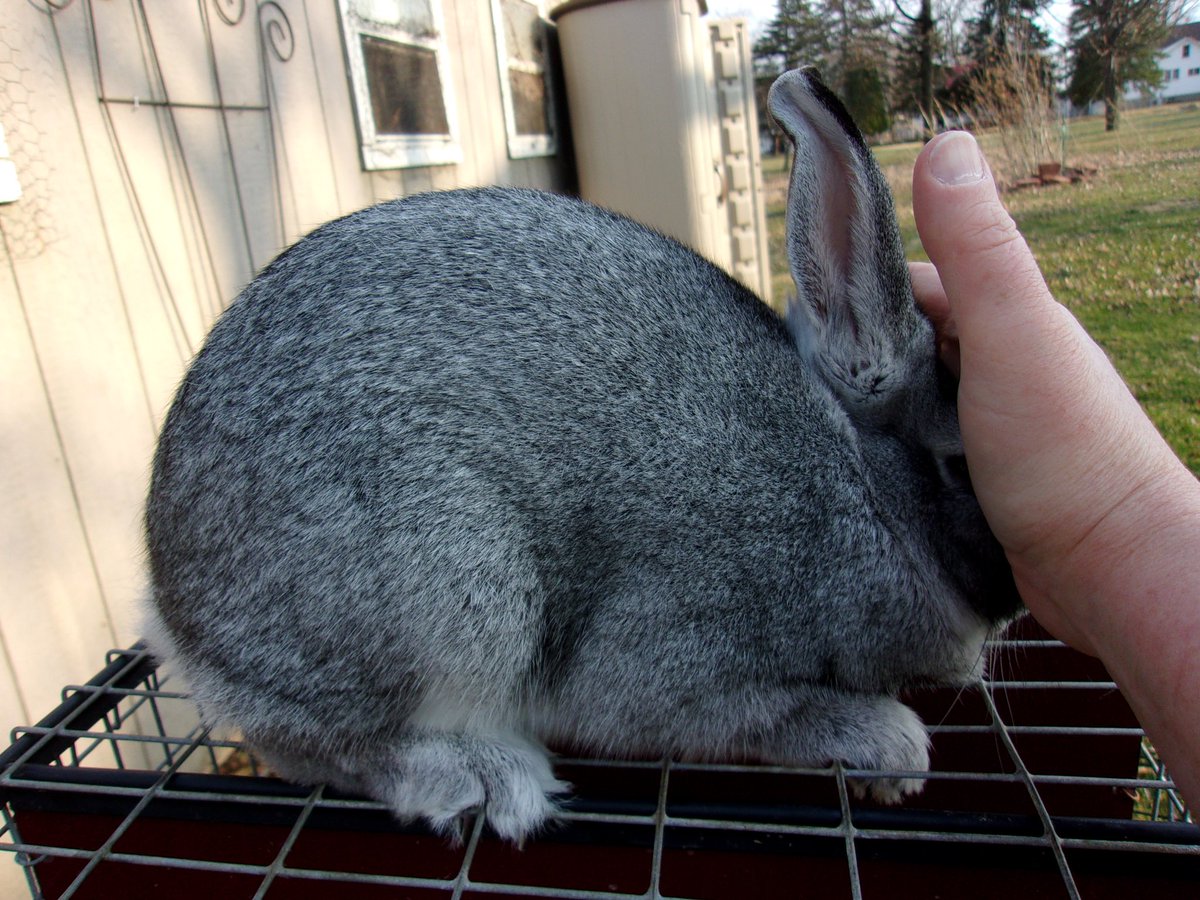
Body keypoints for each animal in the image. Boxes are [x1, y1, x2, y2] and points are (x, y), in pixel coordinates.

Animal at [143, 67, 1021, 842]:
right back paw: (481, 778)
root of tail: (175, 610)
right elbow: (760, 714)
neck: (855, 486)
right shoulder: (678, 651)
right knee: (304, 740)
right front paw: (891, 745)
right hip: (456, 585)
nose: (1016, 598)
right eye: (958, 463)